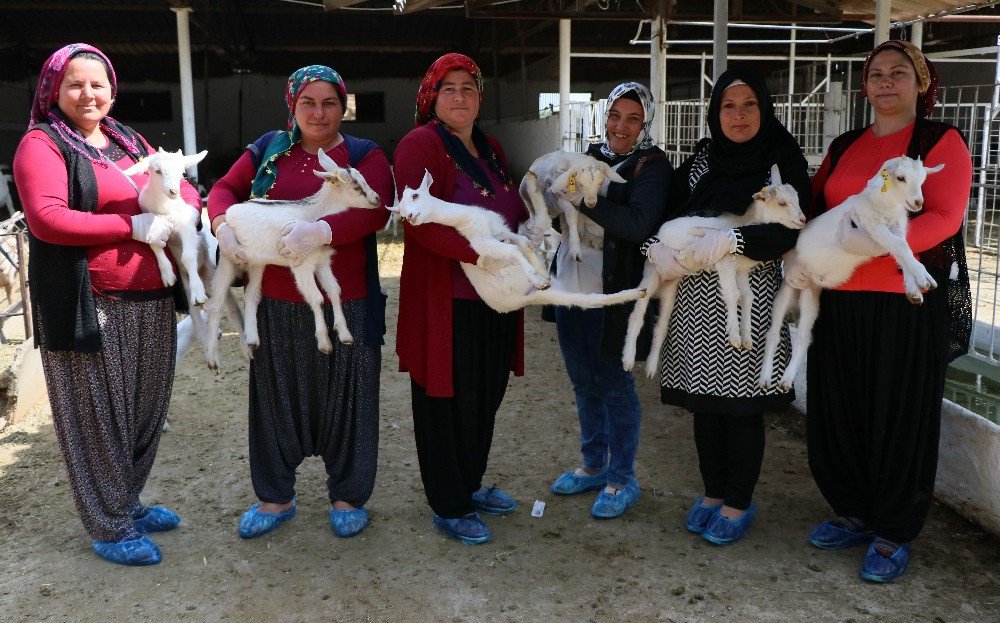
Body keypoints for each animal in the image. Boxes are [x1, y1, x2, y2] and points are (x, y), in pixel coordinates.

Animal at [201, 148, 380, 368]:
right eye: (356, 186)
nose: (377, 199)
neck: (311, 216)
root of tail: (231, 211)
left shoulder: (322, 262)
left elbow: (334, 291)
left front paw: (345, 335)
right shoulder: (300, 264)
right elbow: (317, 298)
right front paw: (324, 343)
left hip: (256, 262)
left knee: (252, 294)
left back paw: (252, 340)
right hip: (229, 258)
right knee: (216, 303)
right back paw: (212, 359)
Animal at [394, 172, 644, 312]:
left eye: (415, 195)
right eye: (402, 214)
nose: (411, 217)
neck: (466, 219)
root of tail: (523, 300)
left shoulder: (501, 230)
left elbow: (522, 242)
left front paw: (540, 272)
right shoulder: (482, 243)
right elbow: (513, 250)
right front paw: (538, 277)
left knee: (586, 298)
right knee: (586, 300)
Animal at [624, 166, 804, 378]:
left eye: (798, 198)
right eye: (781, 203)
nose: (803, 219)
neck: (743, 223)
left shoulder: (741, 270)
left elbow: (748, 297)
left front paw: (747, 338)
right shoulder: (724, 263)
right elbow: (733, 294)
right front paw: (734, 335)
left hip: (670, 289)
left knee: (661, 326)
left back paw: (651, 368)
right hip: (652, 274)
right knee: (637, 315)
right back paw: (628, 359)